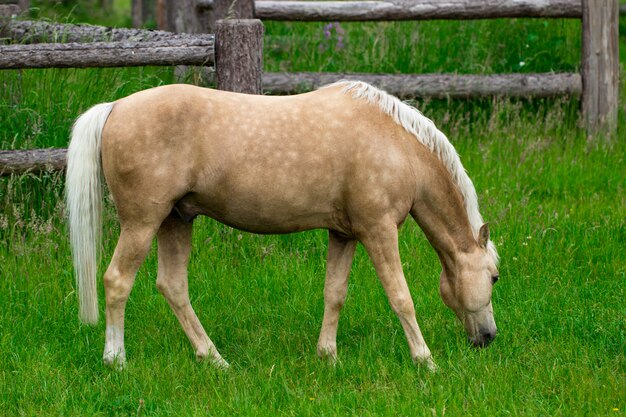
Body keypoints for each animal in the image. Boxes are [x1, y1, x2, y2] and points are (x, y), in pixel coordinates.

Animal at [66, 79, 500, 368]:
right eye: (494, 277)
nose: (488, 338)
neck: (395, 145)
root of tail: (115, 107)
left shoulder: (343, 234)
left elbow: (334, 293)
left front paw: (328, 356)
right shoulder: (378, 231)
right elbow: (401, 297)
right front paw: (425, 361)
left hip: (176, 220)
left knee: (172, 287)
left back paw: (215, 360)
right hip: (142, 223)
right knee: (117, 281)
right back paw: (116, 359)